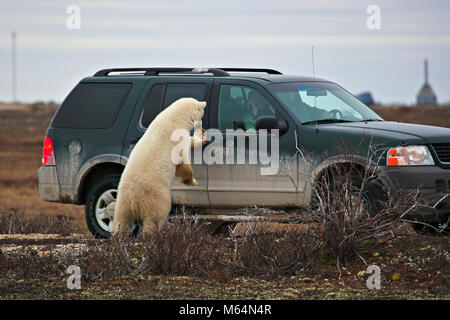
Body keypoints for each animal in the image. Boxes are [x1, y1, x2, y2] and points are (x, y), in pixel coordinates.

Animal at [115, 97, 208, 235]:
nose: (202, 124)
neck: (174, 118)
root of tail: (134, 199)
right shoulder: (177, 140)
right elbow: (183, 163)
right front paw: (192, 181)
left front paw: (201, 134)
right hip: (155, 195)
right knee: (155, 216)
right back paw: (158, 231)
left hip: (122, 199)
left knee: (122, 219)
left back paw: (118, 234)